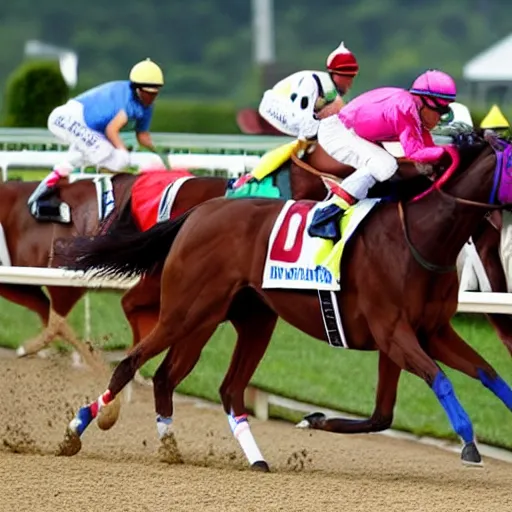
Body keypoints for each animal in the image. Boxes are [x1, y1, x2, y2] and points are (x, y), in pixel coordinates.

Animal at [58, 129, 512, 468]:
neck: (420, 236)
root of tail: (199, 212)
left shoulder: (428, 332)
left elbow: (477, 377)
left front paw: (316, 419)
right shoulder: (395, 333)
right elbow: (440, 380)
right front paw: (469, 442)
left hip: (240, 318)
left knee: (202, 383)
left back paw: (226, 454)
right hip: (185, 311)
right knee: (132, 363)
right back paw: (75, 430)